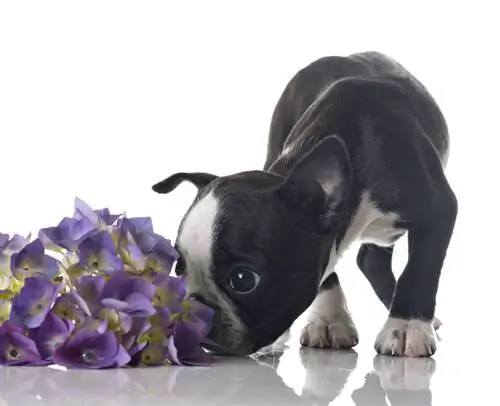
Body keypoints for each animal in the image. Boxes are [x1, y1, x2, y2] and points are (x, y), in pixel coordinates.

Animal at [152, 51, 458, 358]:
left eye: (243, 279)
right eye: (179, 270)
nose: (193, 304)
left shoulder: (440, 210)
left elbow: (420, 270)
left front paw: (406, 327)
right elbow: (327, 273)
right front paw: (329, 320)